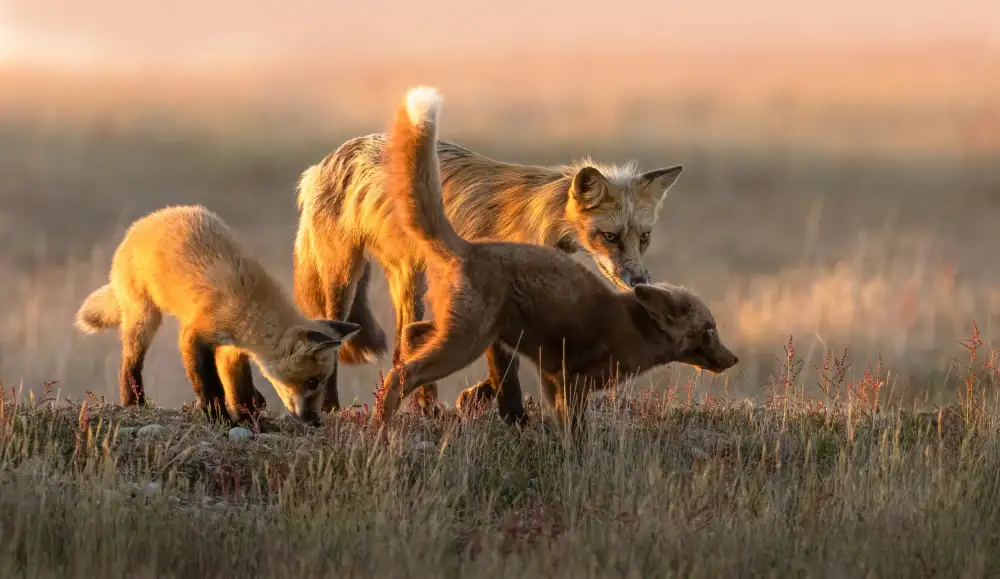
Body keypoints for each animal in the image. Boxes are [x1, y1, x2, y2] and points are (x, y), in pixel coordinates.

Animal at [74, 205, 360, 425]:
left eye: (321, 382)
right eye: (312, 382)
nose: (316, 422)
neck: (251, 308)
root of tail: (142, 222)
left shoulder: (232, 349)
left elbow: (239, 387)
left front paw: (249, 418)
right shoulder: (194, 335)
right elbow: (209, 385)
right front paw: (218, 417)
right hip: (145, 319)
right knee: (130, 363)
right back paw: (134, 401)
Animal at [294, 105, 683, 420]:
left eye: (644, 237)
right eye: (610, 237)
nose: (638, 281)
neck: (537, 220)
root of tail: (325, 161)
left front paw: (476, 397)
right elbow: (504, 368)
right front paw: (511, 413)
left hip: (412, 279)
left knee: (406, 343)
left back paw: (426, 406)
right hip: (344, 278)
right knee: (334, 332)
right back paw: (332, 406)